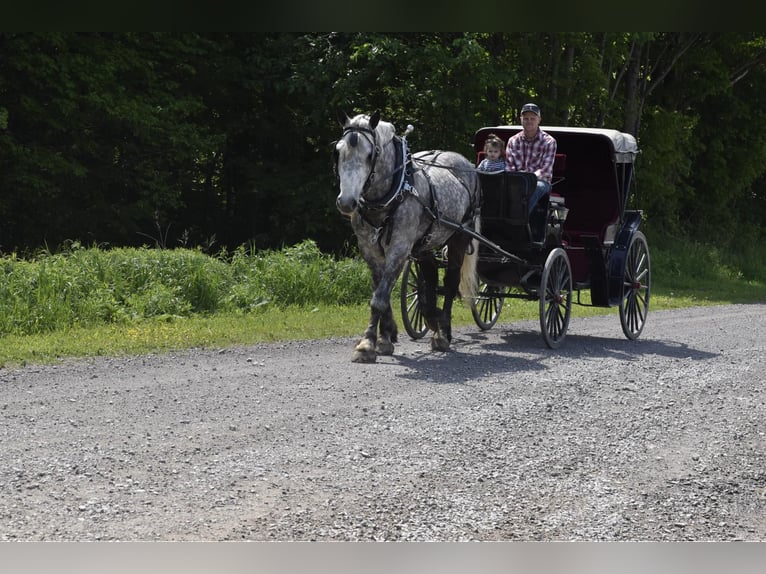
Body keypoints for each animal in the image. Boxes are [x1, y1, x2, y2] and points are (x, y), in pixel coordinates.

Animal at [334, 110, 481, 363]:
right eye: (338, 151)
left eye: (370, 154)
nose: (346, 202)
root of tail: (466, 162)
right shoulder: (369, 250)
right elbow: (381, 292)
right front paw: (385, 337)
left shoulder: (400, 249)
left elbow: (379, 299)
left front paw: (367, 344)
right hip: (425, 243)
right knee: (429, 277)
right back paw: (432, 317)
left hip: (459, 237)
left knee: (450, 283)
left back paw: (443, 332)